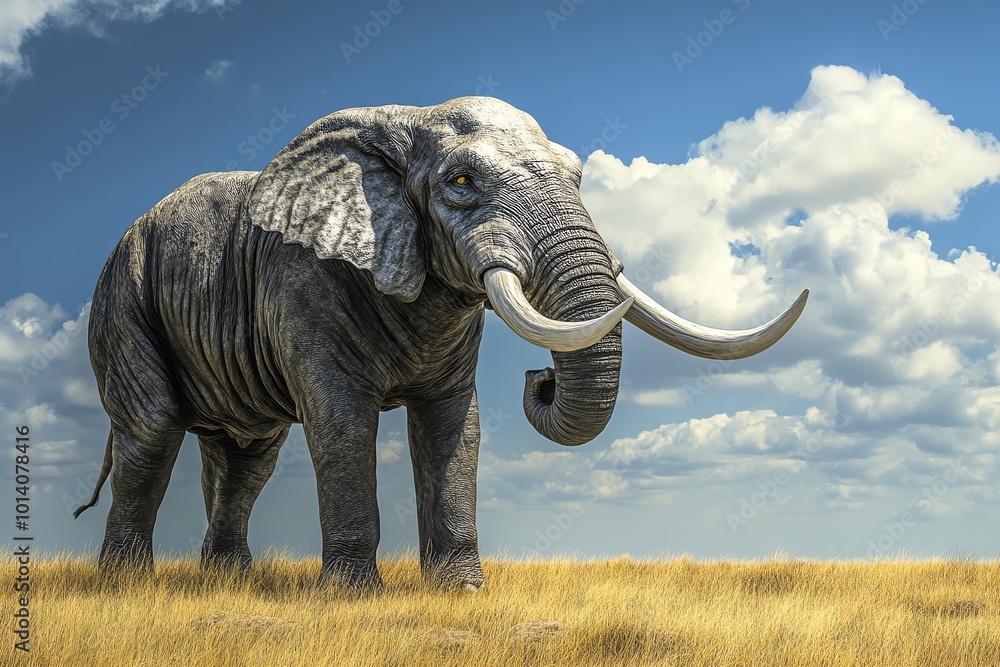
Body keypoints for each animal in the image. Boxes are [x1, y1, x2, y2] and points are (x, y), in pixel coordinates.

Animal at [74, 96, 807, 590]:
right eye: (460, 184)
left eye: (578, 179)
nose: (538, 380)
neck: (407, 118)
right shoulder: (302, 281)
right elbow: (341, 422)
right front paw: (351, 599)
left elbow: (455, 423)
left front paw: (462, 593)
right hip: (122, 298)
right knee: (153, 431)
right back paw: (126, 586)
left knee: (248, 454)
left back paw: (230, 582)